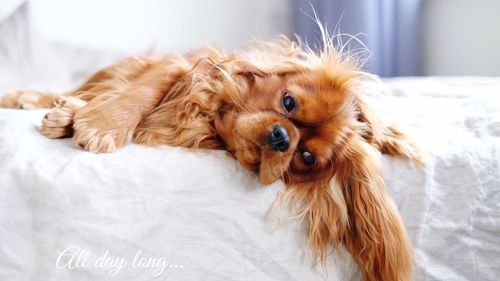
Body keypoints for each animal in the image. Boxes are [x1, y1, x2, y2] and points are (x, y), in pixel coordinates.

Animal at [0, 33, 422, 280]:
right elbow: (144, 90)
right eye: (288, 102)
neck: (212, 122)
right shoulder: (177, 67)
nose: (282, 137)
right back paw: (34, 99)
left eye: (305, 157)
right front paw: (102, 123)